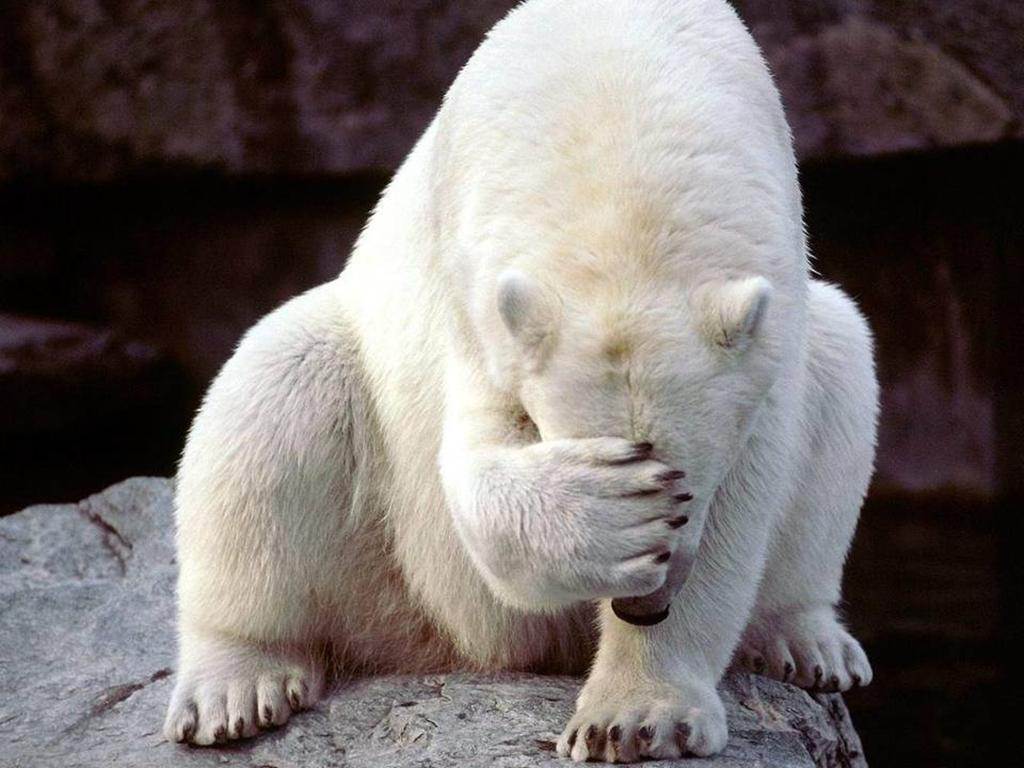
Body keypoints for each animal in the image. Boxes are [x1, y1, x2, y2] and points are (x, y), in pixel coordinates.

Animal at [163, 0, 877, 761]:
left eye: (688, 489)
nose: (643, 606)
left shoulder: (770, 324)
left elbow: (745, 499)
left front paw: (636, 718)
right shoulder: (476, 293)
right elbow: (475, 467)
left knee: (843, 362)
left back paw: (807, 641)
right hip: (382, 551)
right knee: (273, 391)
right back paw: (234, 687)